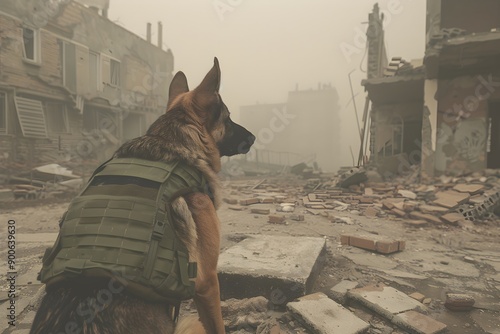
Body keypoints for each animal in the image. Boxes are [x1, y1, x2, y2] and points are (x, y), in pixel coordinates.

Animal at [31, 58, 256, 332]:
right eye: (228, 118)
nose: (253, 137)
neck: (174, 139)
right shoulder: (208, 282)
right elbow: (217, 324)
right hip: (189, 323)